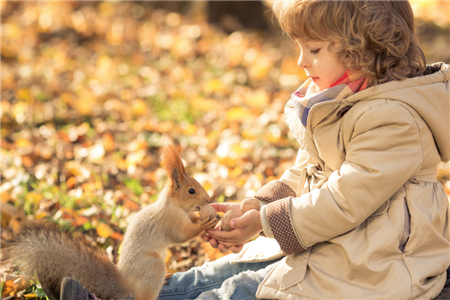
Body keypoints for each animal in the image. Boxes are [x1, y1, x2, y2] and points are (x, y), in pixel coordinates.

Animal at [1, 145, 220, 300]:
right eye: (191, 190)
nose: (208, 199)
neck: (173, 204)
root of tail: (125, 282)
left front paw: (205, 217)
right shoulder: (170, 220)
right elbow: (182, 235)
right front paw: (203, 224)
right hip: (153, 266)